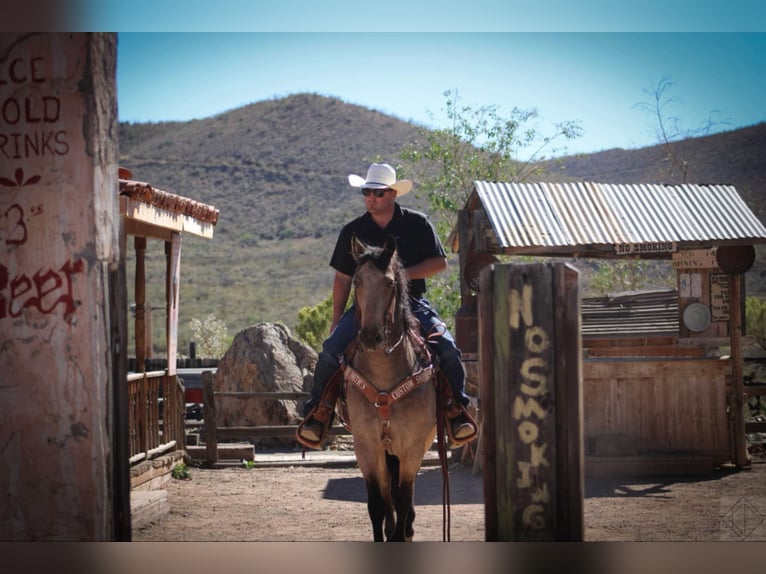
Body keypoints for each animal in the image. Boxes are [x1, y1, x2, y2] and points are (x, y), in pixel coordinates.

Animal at [340, 235, 440, 544]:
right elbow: (376, 503)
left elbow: (404, 497)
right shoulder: (366, 446)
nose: (370, 336)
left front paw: (402, 532)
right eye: (357, 281)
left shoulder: (412, 447)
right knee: (387, 494)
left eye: (389, 284)